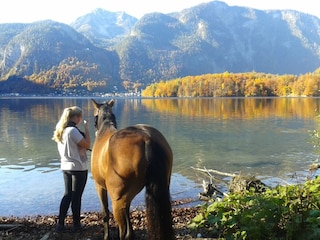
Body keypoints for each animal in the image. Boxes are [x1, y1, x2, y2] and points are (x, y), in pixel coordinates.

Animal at [90, 99, 175, 240]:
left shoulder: (100, 187)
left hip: (117, 200)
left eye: (95, 117)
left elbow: (105, 214)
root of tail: (147, 138)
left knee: (123, 232)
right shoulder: (127, 196)